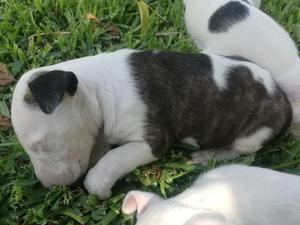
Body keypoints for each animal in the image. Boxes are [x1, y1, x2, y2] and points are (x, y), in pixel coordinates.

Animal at [11, 49, 290, 199]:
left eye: (39, 145)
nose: (50, 186)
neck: (97, 92)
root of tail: (282, 96)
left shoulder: (152, 140)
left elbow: (109, 163)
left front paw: (100, 189)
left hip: (255, 133)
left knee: (242, 152)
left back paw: (210, 155)